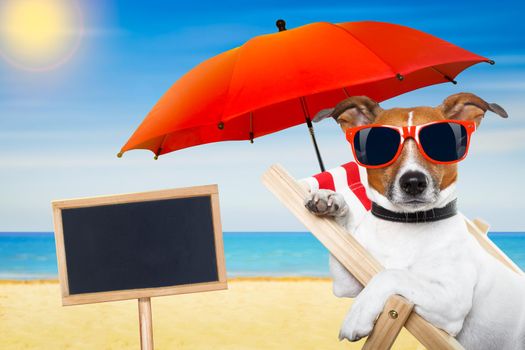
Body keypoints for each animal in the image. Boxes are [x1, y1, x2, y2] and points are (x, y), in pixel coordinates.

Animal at [302, 91, 524, 348]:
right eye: (380, 145)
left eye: (441, 142)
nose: (414, 182)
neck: (404, 225)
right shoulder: (349, 281)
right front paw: (329, 200)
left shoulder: (452, 302)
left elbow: (393, 274)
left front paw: (357, 315)